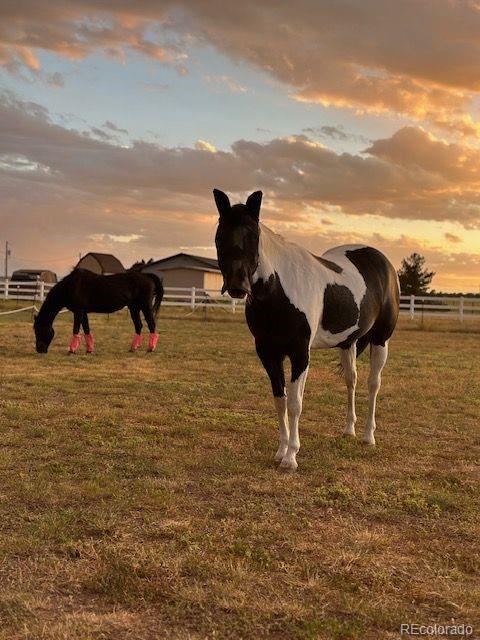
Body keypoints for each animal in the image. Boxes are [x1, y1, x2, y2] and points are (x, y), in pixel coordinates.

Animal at [33, 266, 164, 356]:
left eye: (38, 330)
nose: (39, 350)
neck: (70, 285)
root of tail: (148, 276)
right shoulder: (83, 312)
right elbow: (86, 329)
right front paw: (89, 350)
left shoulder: (78, 311)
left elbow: (76, 329)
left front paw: (71, 350)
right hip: (134, 308)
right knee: (139, 326)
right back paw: (133, 348)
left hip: (145, 306)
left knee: (151, 325)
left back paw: (150, 348)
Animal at [215, 188, 402, 472]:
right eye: (219, 234)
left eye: (253, 235)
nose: (238, 285)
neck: (279, 288)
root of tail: (382, 262)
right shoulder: (268, 352)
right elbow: (280, 400)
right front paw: (281, 451)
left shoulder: (300, 353)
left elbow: (295, 404)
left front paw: (291, 457)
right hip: (348, 343)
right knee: (352, 380)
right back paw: (349, 430)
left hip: (381, 339)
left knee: (373, 383)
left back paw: (368, 436)